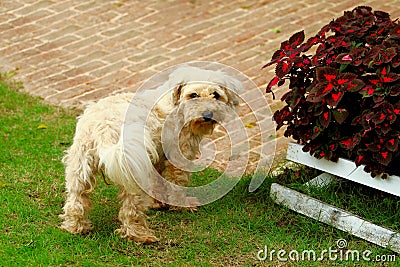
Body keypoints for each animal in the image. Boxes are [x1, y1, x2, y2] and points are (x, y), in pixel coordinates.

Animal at [59, 66, 241, 244]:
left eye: (215, 95)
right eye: (193, 95)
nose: (207, 114)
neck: (176, 106)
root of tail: (105, 124)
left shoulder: (158, 158)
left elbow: (159, 182)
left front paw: (158, 203)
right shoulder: (178, 158)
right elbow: (176, 183)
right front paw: (180, 205)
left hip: (80, 167)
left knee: (75, 201)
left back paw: (76, 227)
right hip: (131, 172)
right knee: (130, 209)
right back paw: (140, 235)